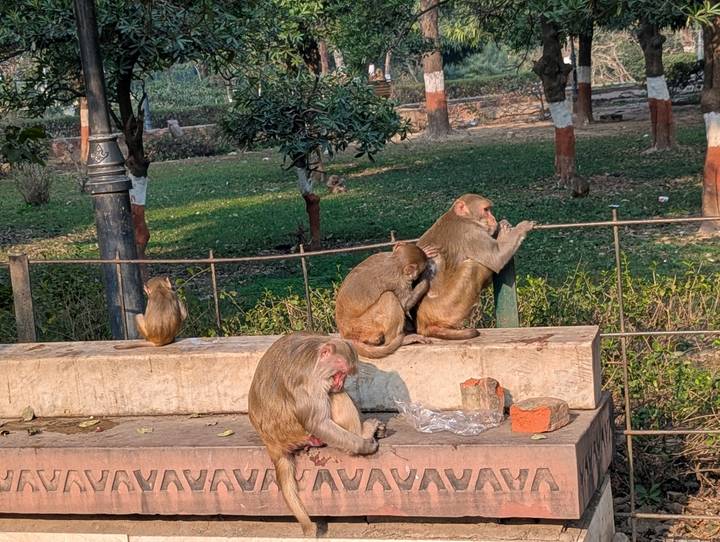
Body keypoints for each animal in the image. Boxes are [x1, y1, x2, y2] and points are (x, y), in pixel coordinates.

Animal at [248, 333, 380, 537]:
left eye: (345, 375)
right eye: (339, 373)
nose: (339, 383)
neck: (316, 354)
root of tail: (272, 444)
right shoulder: (311, 380)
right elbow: (317, 422)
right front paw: (364, 445)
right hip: (298, 433)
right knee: (334, 396)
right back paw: (362, 433)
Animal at [415, 194, 534, 340]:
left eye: (490, 209)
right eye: (486, 210)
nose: (493, 219)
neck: (462, 217)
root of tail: (421, 323)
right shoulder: (470, 232)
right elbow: (496, 258)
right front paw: (518, 229)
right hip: (444, 308)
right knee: (472, 266)